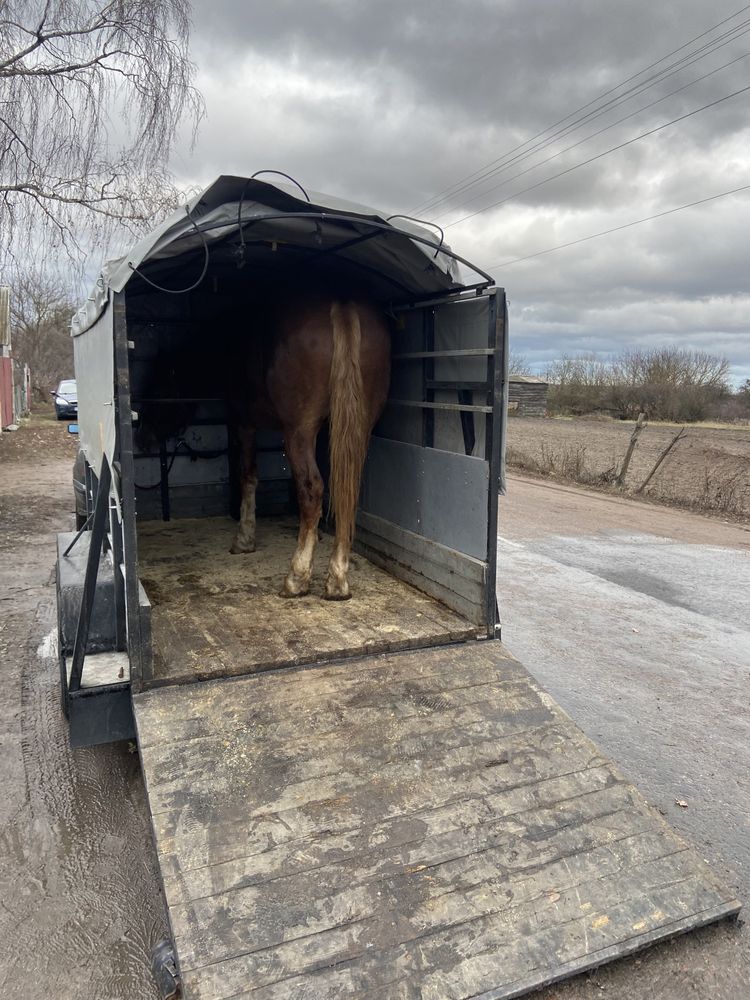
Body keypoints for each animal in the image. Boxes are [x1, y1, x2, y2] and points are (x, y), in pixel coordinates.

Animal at [231, 298, 394, 600]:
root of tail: (343, 305)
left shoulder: (243, 421)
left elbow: (247, 475)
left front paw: (244, 538)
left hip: (299, 429)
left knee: (311, 487)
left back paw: (296, 578)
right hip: (357, 426)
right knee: (347, 491)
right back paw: (338, 579)